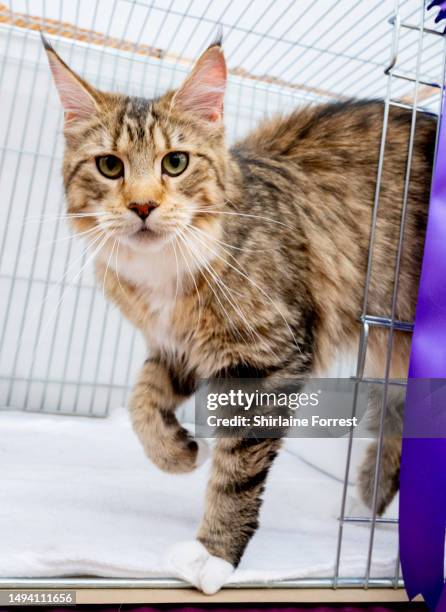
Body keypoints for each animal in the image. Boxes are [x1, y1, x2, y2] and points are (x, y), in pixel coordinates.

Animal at [42, 33, 436, 592]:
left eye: (175, 163)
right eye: (110, 166)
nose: (142, 206)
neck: (164, 271)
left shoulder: (266, 362)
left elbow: (237, 474)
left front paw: (213, 554)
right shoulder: (176, 346)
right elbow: (142, 404)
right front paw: (181, 452)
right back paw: (366, 502)